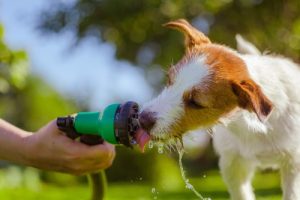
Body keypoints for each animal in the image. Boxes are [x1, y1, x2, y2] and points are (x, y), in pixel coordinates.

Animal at [139, 19, 300, 200]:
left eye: (195, 102)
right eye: (169, 80)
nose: (142, 119)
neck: (253, 126)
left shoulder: (293, 164)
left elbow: (292, 194)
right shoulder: (232, 164)